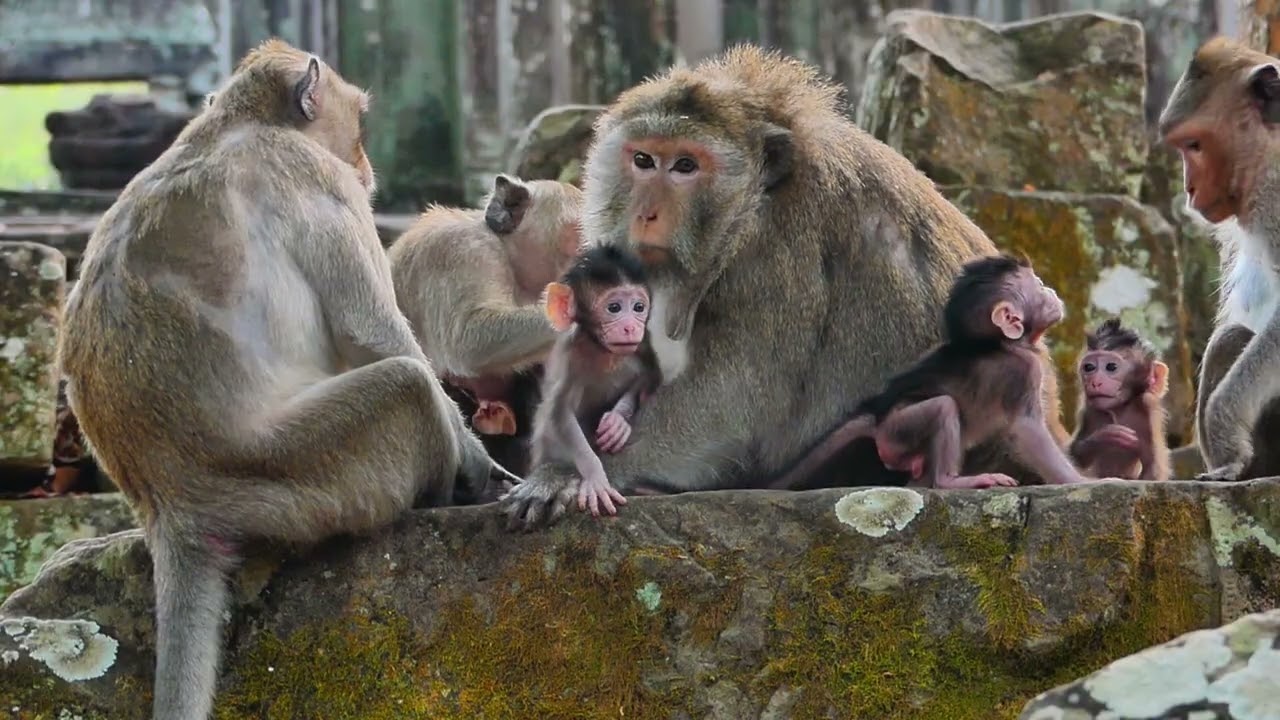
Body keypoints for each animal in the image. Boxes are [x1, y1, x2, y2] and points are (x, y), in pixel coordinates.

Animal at [56, 39, 519, 720]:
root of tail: (168, 505)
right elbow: (371, 333)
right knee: (405, 387)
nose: (365, 163)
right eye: (358, 124)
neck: (239, 123)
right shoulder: (315, 178)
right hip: (301, 471)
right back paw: (451, 490)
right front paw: (480, 460)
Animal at [530, 244, 663, 516]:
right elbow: (559, 413)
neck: (603, 351)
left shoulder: (643, 344)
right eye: (614, 308)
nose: (631, 327)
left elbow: (649, 376)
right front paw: (595, 478)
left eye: (638, 307)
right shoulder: (571, 355)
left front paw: (618, 421)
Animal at [769, 255, 1085, 490]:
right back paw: (950, 482)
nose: (1051, 292)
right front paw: (1080, 480)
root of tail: (879, 419)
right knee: (943, 407)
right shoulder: (1025, 370)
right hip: (899, 431)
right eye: (1038, 286)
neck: (1004, 343)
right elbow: (1028, 429)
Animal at [1069, 318, 1172, 481]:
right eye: (1089, 367)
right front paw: (1105, 436)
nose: (1095, 382)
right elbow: (1074, 456)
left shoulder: (1147, 410)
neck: (1120, 408)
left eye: (1111, 367)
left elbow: (1153, 469)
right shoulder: (1089, 411)